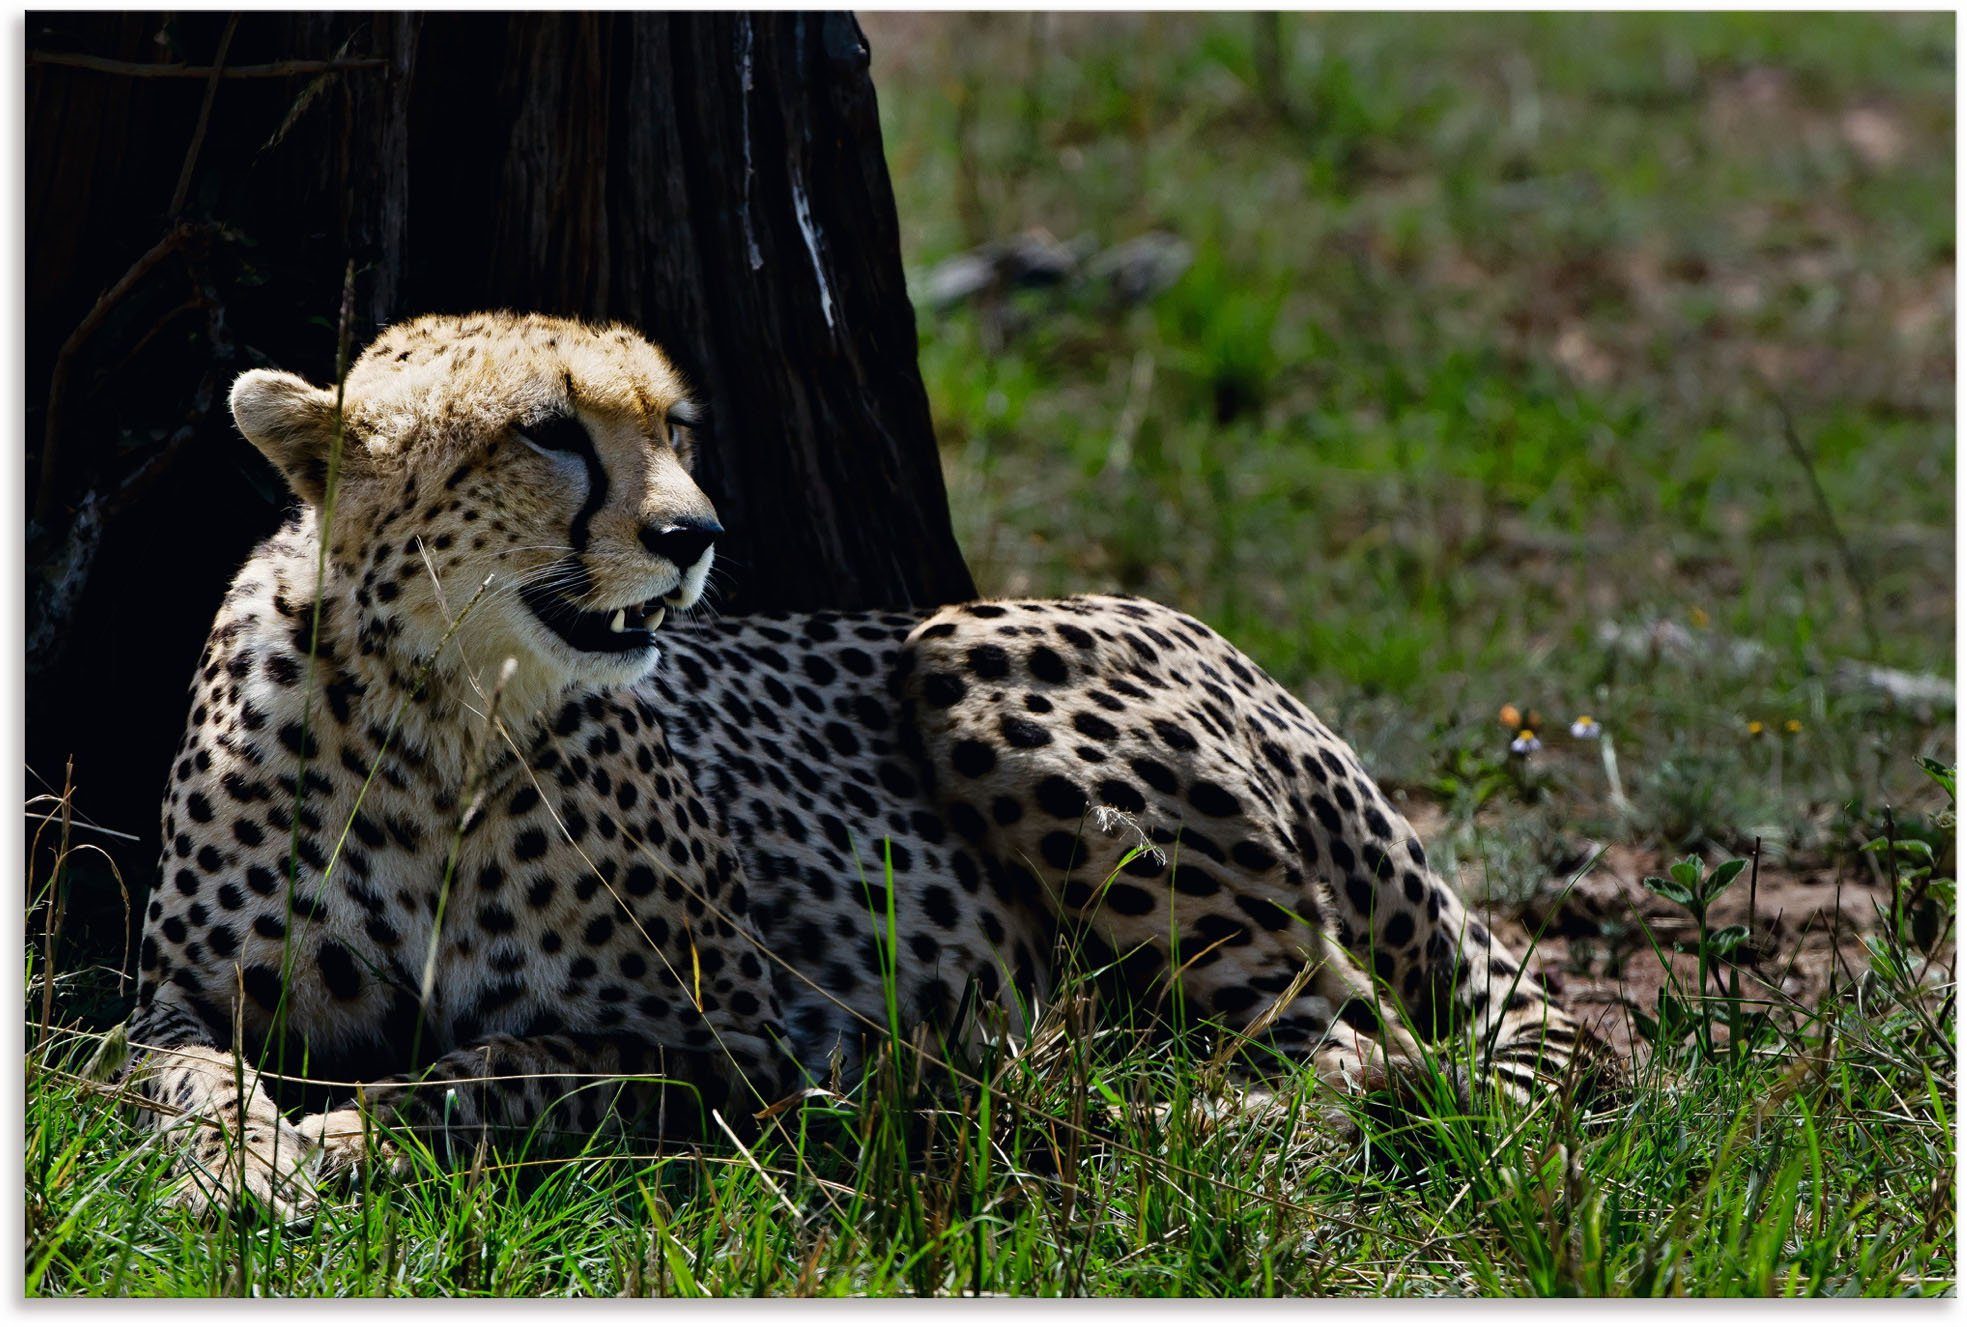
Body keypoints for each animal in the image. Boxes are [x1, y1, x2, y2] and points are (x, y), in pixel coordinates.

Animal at [111, 308, 1597, 1211]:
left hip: (967, 652)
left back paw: (1105, 1114)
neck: (440, 712)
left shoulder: (735, 1041)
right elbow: (174, 1069)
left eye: (676, 429)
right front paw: (237, 1159)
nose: (696, 534)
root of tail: (1212, 633)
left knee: (1355, 1050)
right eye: (547, 430)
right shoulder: (183, 989)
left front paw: (340, 1134)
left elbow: (493, 1069)